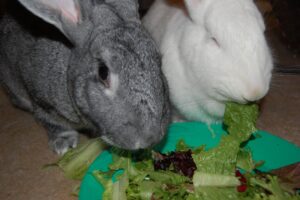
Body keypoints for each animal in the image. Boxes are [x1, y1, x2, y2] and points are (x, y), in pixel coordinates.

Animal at [0, 0, 170, 155]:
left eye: (159, 61)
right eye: (103, 72)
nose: (150, 138)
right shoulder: (41, 101)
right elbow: (49, 121)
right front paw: (64, 143)